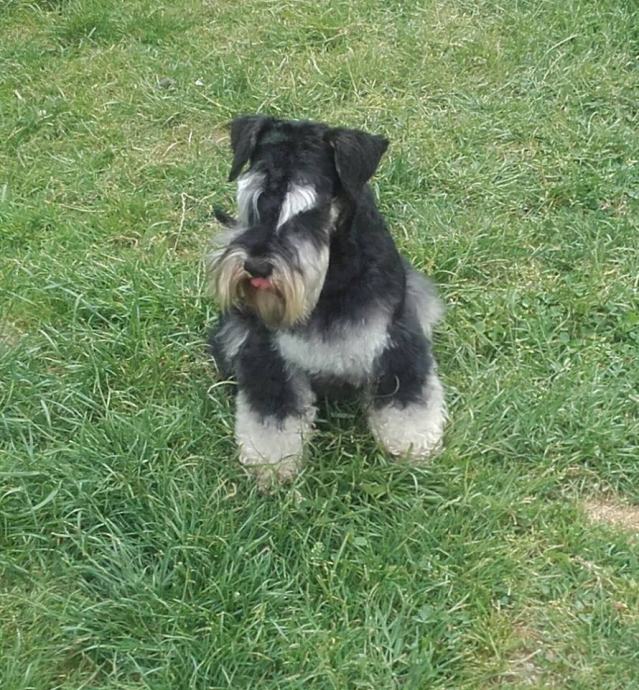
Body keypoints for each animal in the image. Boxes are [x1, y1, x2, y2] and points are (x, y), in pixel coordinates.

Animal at [207, 115, 446, 486]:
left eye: (309, 211)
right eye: (255, 199)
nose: (257, 266)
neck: (331, 276)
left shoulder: (394, 335)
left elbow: (406, 394)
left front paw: (412, 442)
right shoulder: (266, 350)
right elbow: (273, 411)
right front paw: (270, 462)